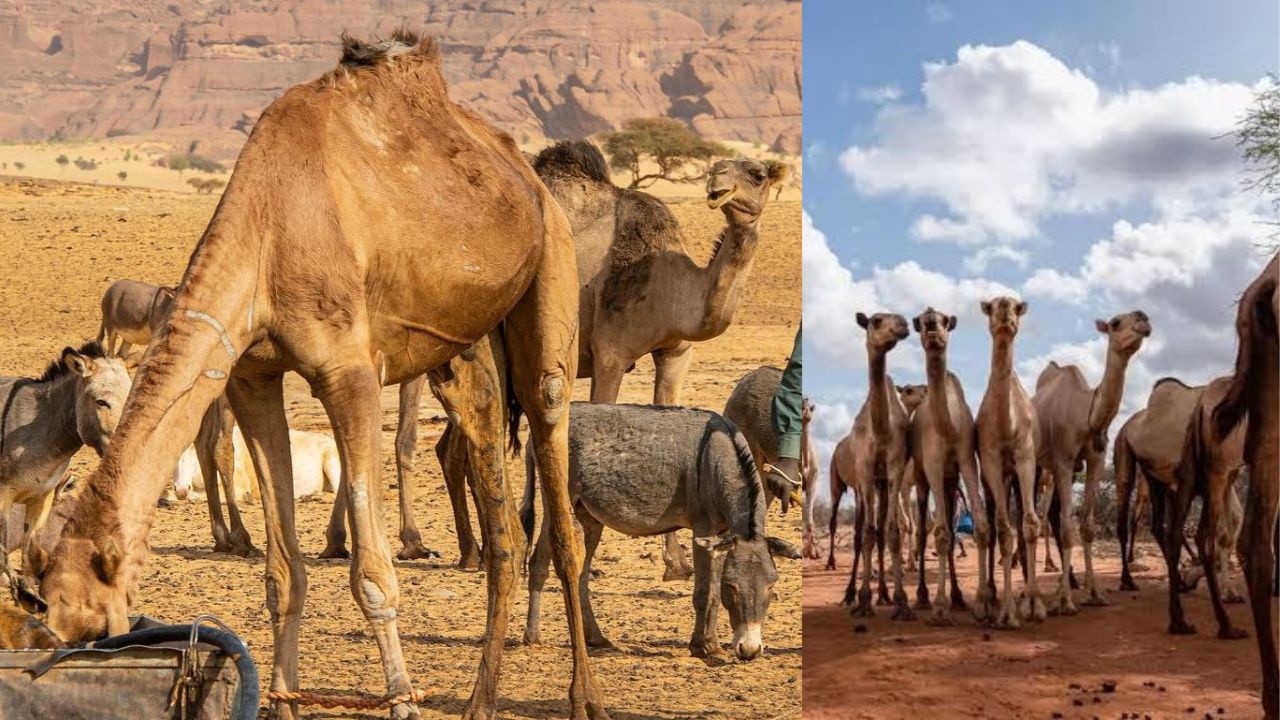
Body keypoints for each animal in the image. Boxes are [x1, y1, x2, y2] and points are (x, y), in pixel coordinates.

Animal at [30, 33, 606, 720]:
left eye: (88, 628)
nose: (56, 669)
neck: (266, 233)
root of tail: (526, 173)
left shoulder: (349, 374)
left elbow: (373, 575)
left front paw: (403, 701)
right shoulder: (251, 377)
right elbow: (283, 573)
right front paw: (281, 699)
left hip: (552, 273)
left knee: (556, 467)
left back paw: (585, 697)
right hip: (467, 347)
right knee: (500, 513)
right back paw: (480, 700)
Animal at [366, 141, 790, 579]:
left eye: (757, 174)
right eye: (717, 168)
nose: (718, 183)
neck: (672, 281)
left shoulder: (675, 352)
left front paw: (676, 563)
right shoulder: (611, 352)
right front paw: (593, 557)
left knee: (454, 447)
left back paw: (472, 551)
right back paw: (438, 546)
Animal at [827, 312, 913, 619]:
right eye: (876, 320)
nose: (903, 325)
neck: (881, 431)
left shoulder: (894, 468)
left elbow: (892, 532)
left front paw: (901, 601)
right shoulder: (864, 471)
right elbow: (865, 534)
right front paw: (863, 600)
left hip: (881, 484)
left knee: (880, 530)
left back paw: (884, 594)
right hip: (844, 484)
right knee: (851, 526)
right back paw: (850, 591)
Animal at [910, 307, 991, 625]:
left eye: (945, 320)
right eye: (921, 321)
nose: (932, 325)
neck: (948, 427)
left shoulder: (966, 459)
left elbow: (980, 525)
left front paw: (981, 602)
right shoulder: (932, 464)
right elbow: (940, 534)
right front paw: (940, 607)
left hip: (949, 481)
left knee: (954, 532)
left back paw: (958, 596)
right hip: (922, 478)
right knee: (923, 533)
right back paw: (923, 596)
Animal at [1032, 310, 1150, 615]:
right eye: (1115, 323)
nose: (1143, 319)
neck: (1085, 413)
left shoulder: (1095, 460)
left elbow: (1086, 527)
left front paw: (1095, 593)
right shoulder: (1063, 460)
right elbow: (1067, 528)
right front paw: (1063, 601)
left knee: (1044, 516)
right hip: (1035, 463)